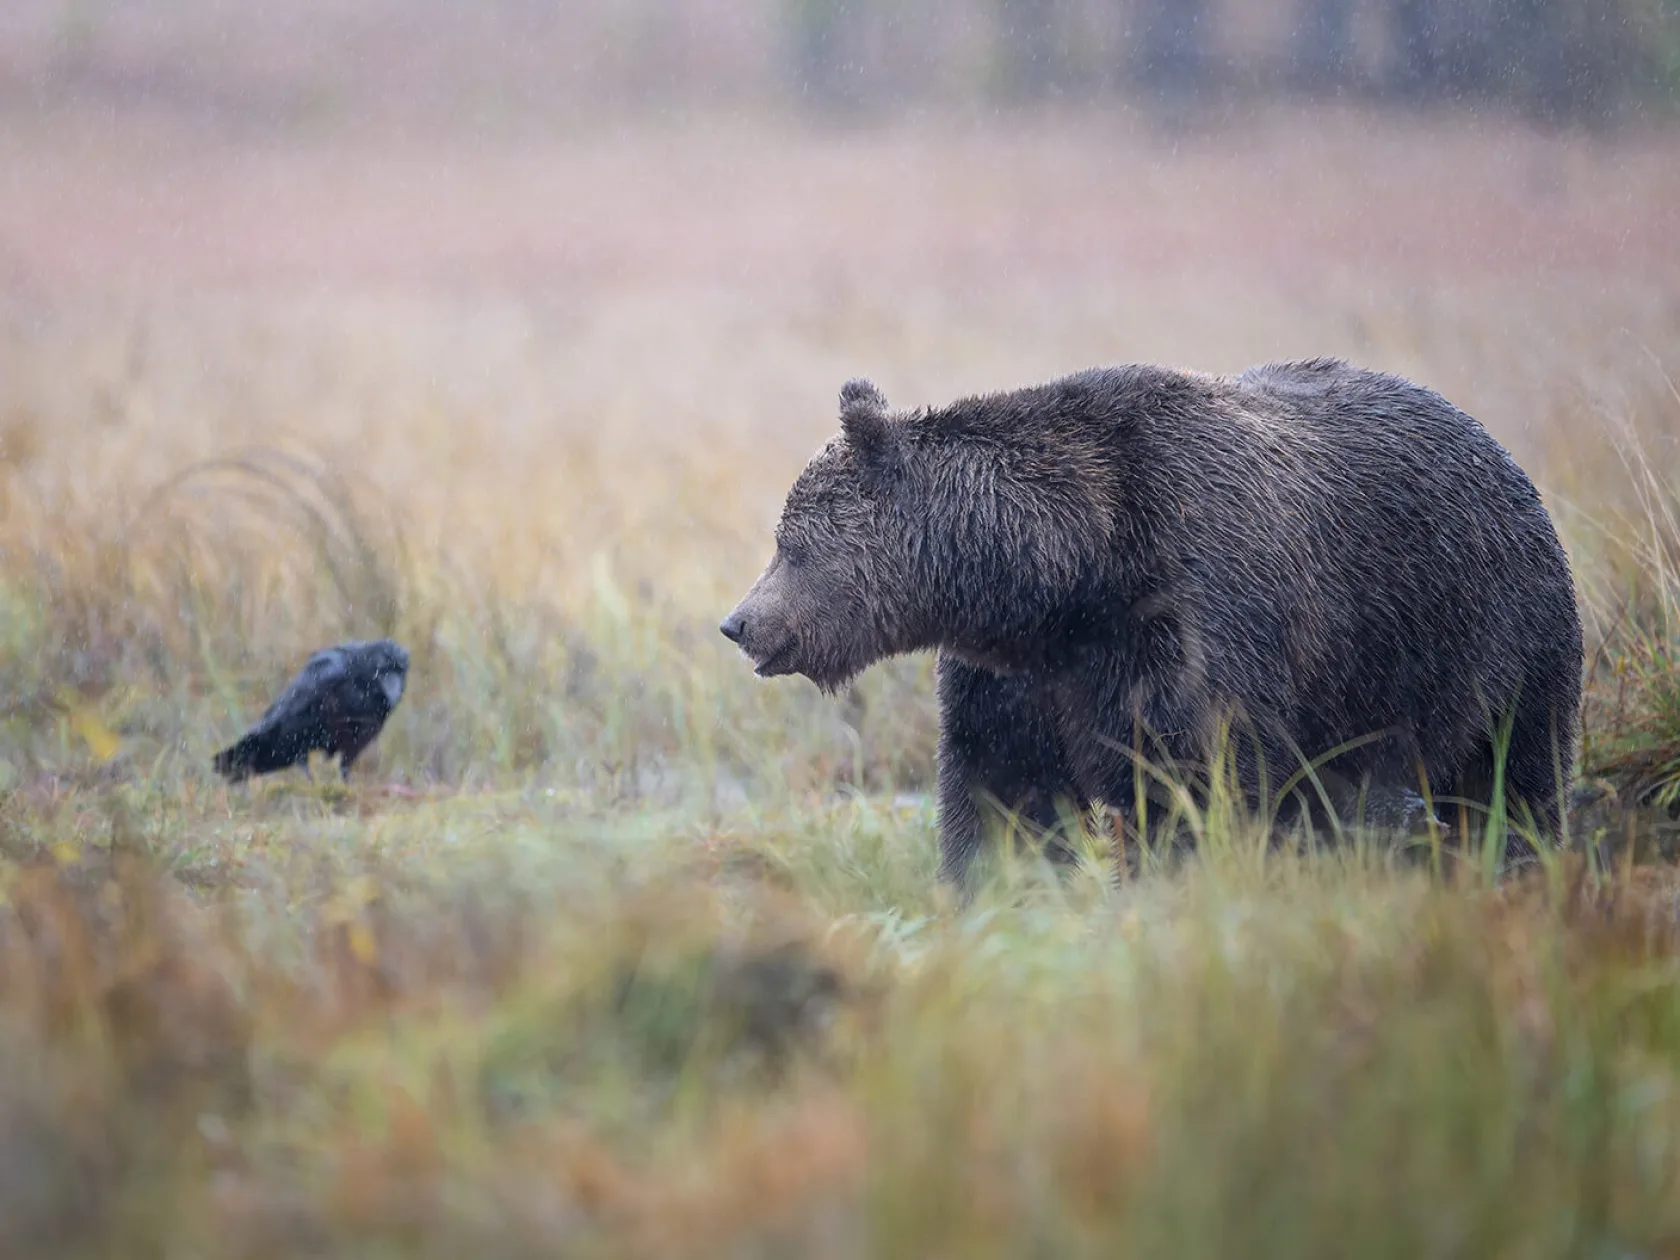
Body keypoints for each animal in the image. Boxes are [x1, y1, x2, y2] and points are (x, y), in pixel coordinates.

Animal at [720, 360, 1584, 891]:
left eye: (789, 543)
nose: (739, 623)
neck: (1064, 576)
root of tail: (1501, 453)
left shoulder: (1191, 627)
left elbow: (1195, 789)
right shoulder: (1018, 679)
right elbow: (1002, 794)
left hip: (1488, 635)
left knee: (1510, 778)